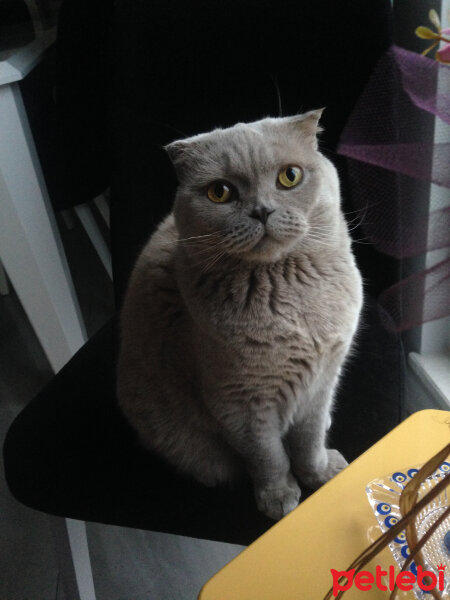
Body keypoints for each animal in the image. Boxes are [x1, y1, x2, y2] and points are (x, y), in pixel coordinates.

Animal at [116, 111, 362, 520]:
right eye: (221, 192)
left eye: (289, 176)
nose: (261, 210)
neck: (290, 296)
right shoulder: (240, 400)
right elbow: (268, 456)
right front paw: (279, 498)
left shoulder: (323, 377)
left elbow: (308, 439)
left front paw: (321, 473)